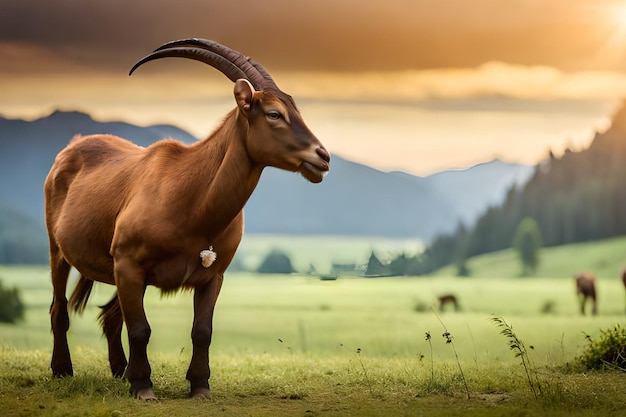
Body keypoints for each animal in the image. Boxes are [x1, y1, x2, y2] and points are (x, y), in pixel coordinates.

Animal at [44, 39, 332, 400]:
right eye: (274, 113)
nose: (322, 157)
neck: (191, 201)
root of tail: (71, 148)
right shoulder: (128, 264)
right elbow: (140, 329)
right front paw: (144, 388)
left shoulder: (212, 276)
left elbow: (202, 330)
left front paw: (199, 387)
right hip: (60, 251)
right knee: (60, 308)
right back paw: (63, 370)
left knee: (110, 316)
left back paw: (120, 370)